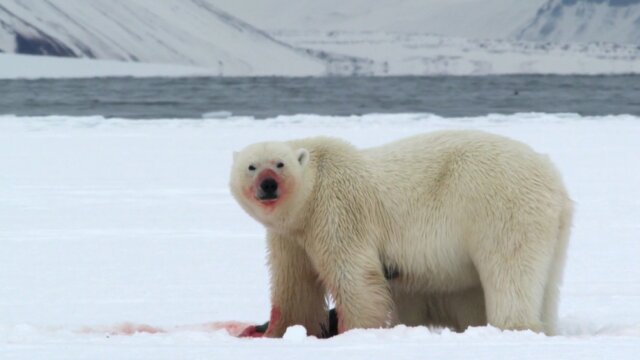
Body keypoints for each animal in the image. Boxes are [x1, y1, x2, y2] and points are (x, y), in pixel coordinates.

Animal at [229, 131, 568, 338]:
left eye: (280, 164)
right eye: (251, 166)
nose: (268, 184)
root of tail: (554, 180)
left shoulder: (337, 209)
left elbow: (355, 277)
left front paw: (355, 332)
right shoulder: (291, 236)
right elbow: (294, 285)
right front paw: (279, 331)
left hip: (501, 207)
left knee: (509, 271)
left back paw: (513, 326)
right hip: (551, 230)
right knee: (545, 285)